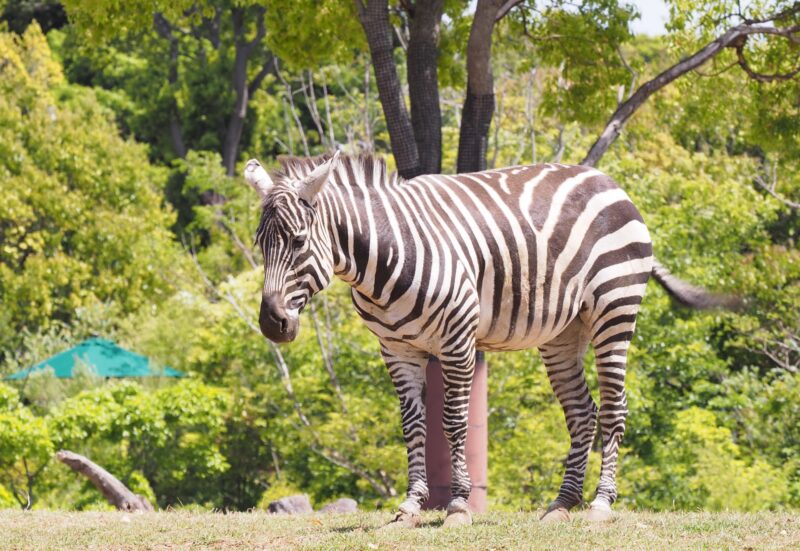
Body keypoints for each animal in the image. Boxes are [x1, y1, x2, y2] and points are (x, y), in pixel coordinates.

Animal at [244, 151, 736, 528]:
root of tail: (608, 181)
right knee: (583, 413)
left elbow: (454, 422)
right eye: (260, 244)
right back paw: (562, 505)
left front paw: (459, 506)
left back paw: (600, 504)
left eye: (299, 241)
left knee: (615, 407)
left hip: (615, 309)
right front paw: (410, 506)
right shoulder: (397, 350)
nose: (272, 324)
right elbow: (412, 425)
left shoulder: (459, 341)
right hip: (564, 331)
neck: (384, 255)